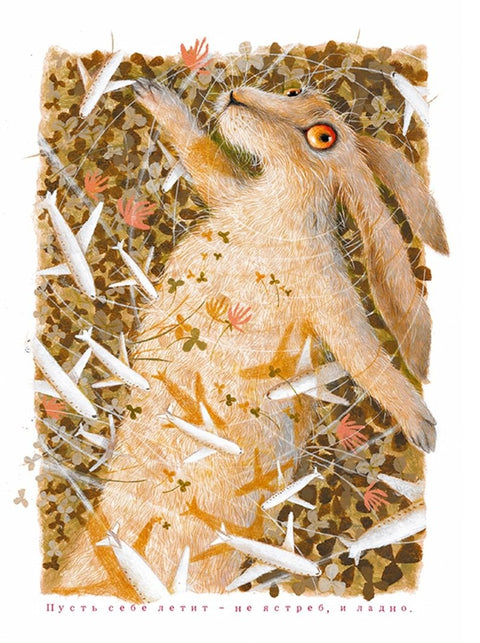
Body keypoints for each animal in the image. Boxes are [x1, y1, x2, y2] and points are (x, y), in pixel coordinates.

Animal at [51, 80, 448, 598]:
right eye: (295, 91)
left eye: (323, 137)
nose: (236, 97)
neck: (275, 213)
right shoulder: (229, 193)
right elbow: (203, 157)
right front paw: (154, 96)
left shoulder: (328, 296)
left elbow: (363, 354)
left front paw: (422, 428)